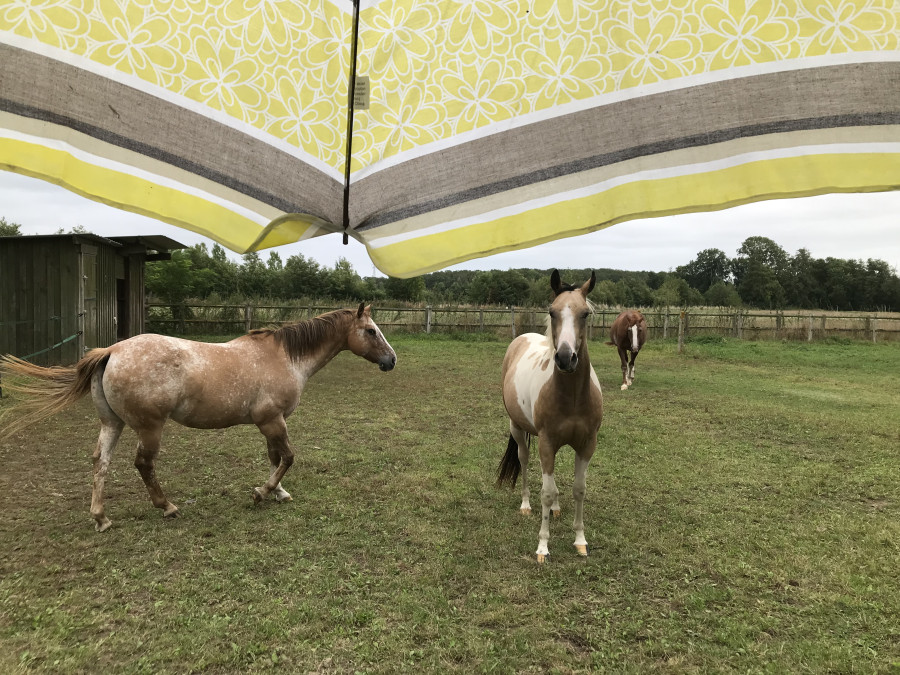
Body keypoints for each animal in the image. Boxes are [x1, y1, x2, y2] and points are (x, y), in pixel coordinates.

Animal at [0, 304, 396, 532]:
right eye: (371, 331)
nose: (392, 361)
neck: (284, 357)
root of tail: (111, 351)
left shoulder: (270, 422)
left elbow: (275, 457)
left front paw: (278, 492)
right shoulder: (272, 420)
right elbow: (288, 457)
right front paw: (262, 492)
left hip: (112, 424)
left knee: (101, 462)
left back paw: (101, 517)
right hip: (150, 428)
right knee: (143, 464)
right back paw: (167, 507)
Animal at [497, 270, 603, 563]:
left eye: (585, 314)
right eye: (552, 312)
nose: (566, 358)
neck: (573, 397)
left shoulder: (587, 445)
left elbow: (579, 489)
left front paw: (580, 541)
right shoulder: (545, 442)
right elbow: (546, 491)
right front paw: (543, 546)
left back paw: (556, 509)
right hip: (518, 429)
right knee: (523, 461)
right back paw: (525, 505)